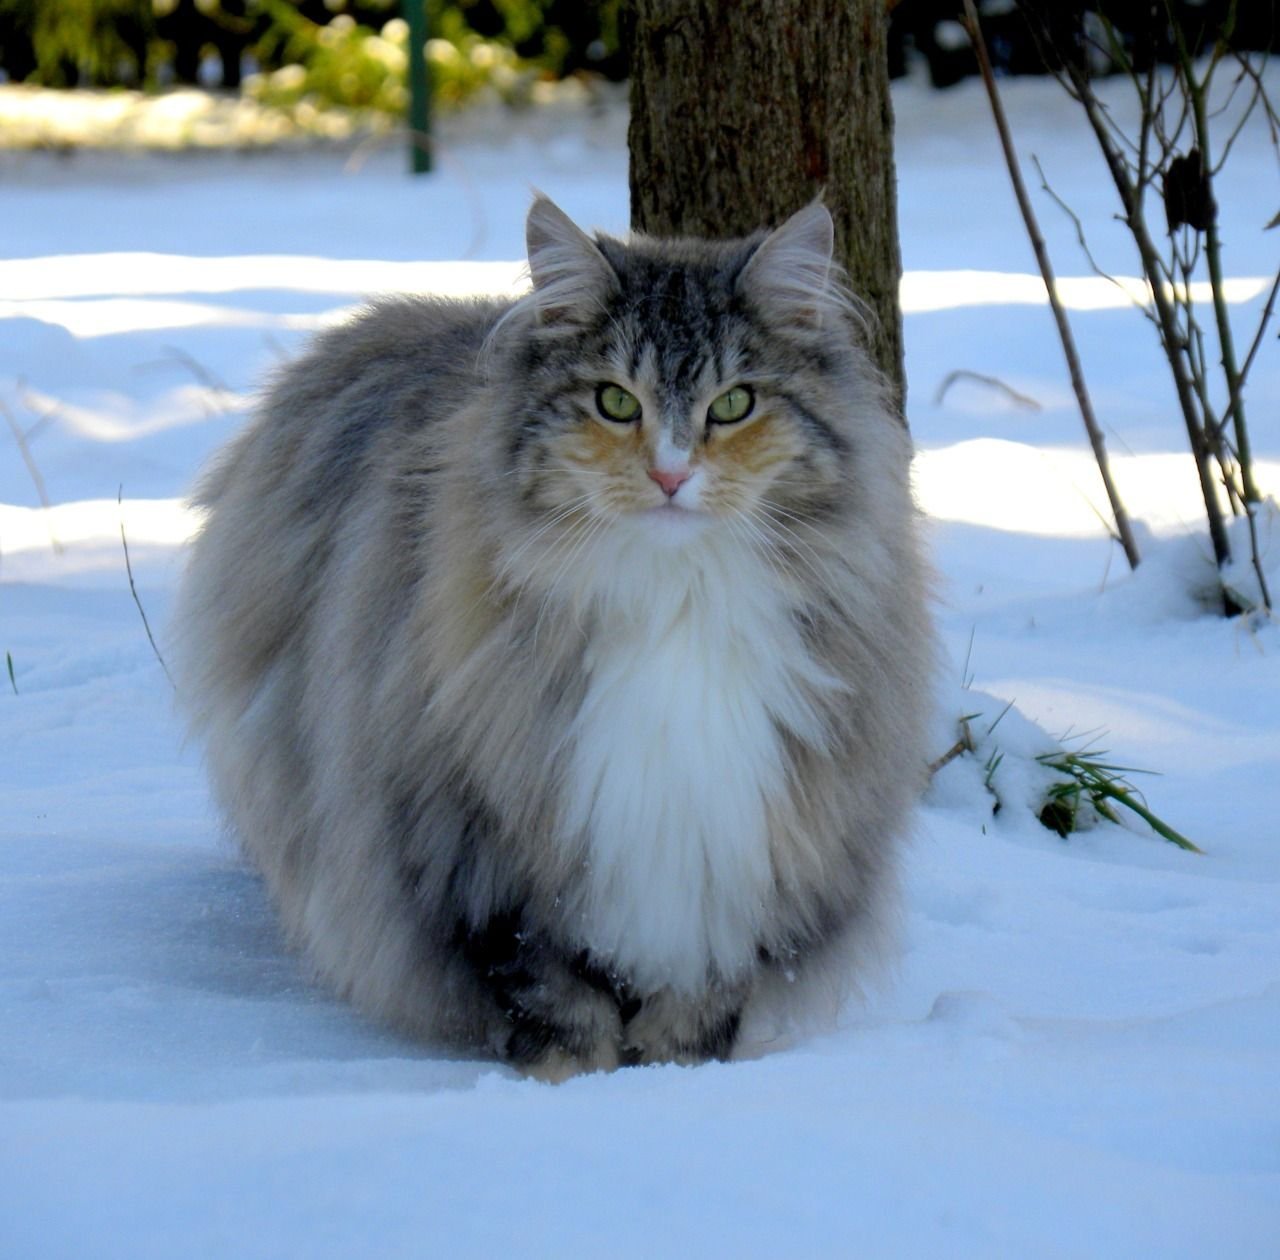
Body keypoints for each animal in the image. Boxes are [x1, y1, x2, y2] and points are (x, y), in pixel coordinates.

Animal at [175, 194, 936, 1070]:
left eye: (734, 404)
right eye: (616, 402)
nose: (670, 475)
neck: (677, 599)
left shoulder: (738, 870)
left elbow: (694, 1016)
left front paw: (674, 1081)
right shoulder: (496, 867)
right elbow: (560, 1010)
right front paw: (576, 1088)